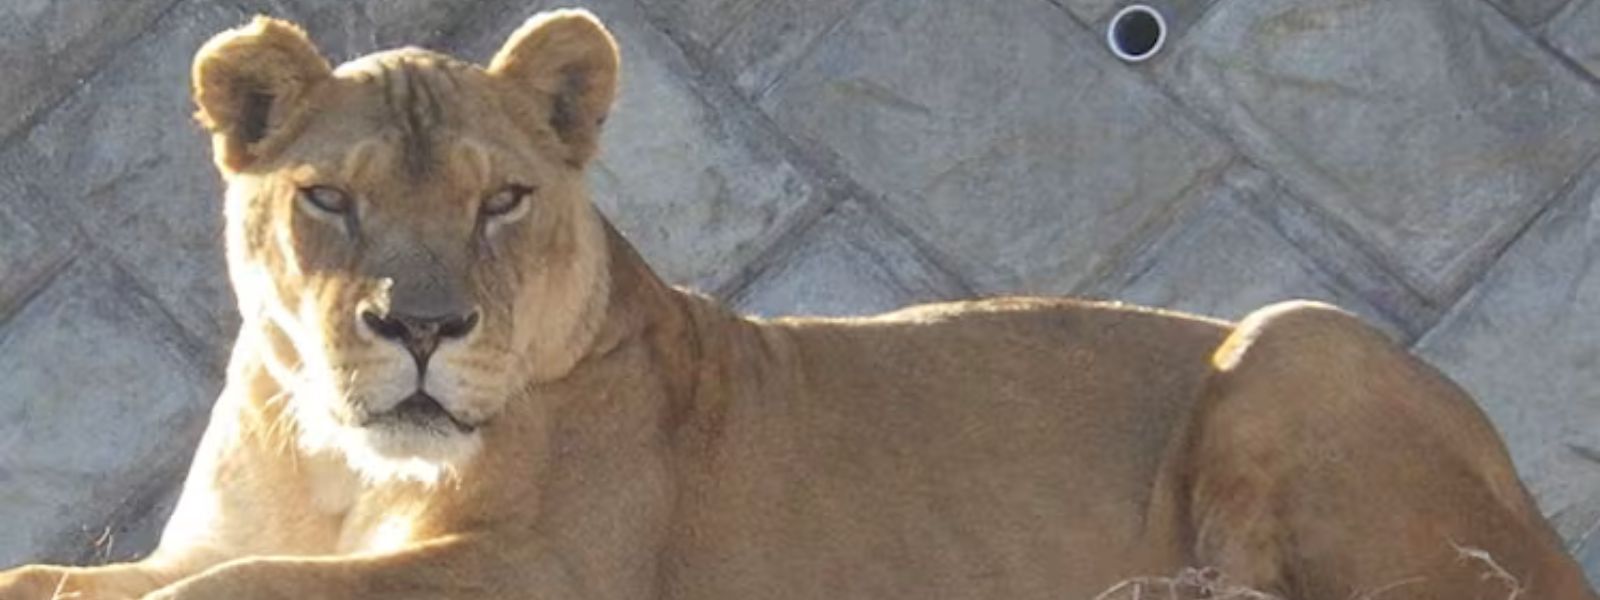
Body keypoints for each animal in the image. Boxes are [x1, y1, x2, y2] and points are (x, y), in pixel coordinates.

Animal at [0, 8, 1594, 600]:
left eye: (499, 201)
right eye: (328, 199)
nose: (422, 329)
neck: (344, 465)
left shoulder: (548, 574)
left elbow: (249, 588)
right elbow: (95, 574)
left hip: (1293, 336)